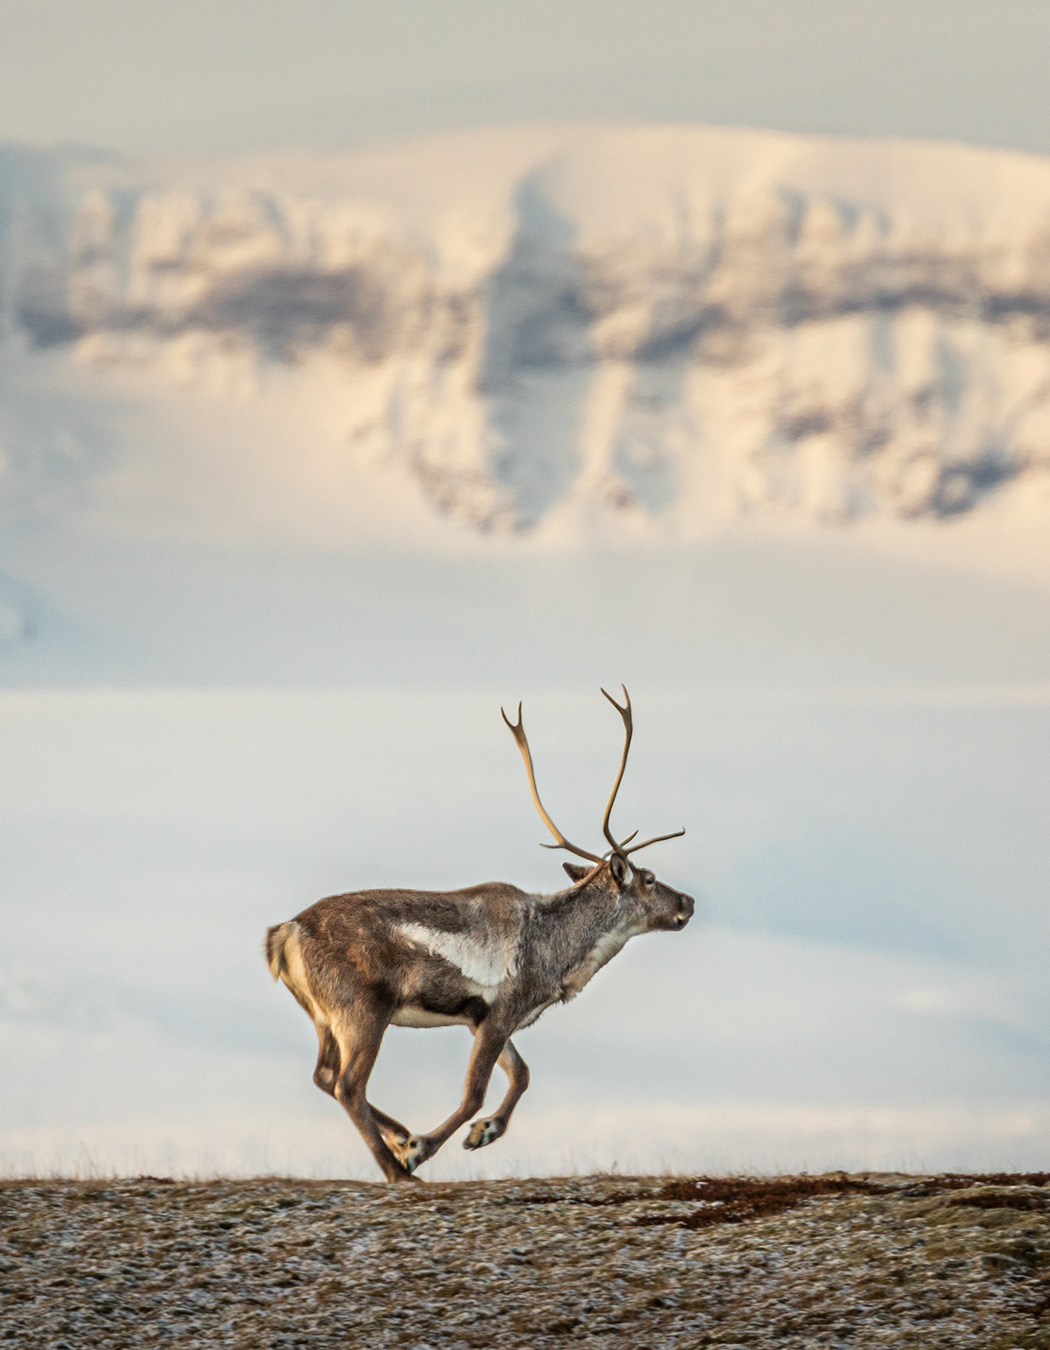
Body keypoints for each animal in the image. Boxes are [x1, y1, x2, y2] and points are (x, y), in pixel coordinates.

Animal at [265, 687, 694, 1182]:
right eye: (650, 879)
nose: (688, 902)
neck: (555, 950)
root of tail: (285, 933)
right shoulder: (501, 1008)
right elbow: (475, 1092)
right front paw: (425, 1146)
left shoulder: (482, 1017)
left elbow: (522, 1075)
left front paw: (481, 1133)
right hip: (362, 1009)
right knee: (348, 1084)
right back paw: (400, 1168)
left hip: (322, 1015)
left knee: (324, 1076)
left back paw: (399, 1135)